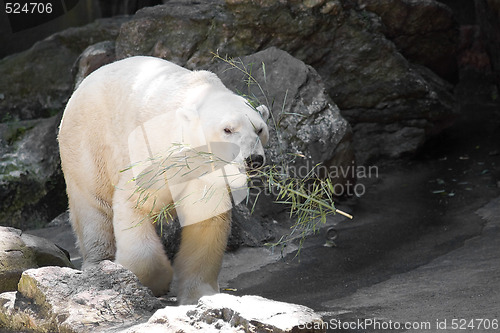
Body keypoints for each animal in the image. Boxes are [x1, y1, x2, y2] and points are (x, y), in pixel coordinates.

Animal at [57, 55, 270, 304]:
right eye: (227, 129)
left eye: (259, 129)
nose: (254, 159)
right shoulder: (156, 151)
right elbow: (135, 202)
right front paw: (153, 280)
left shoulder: (202, 175)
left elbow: (204, 219)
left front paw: (198, 293)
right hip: (89, 139)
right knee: (92, 202)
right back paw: (100, 263)